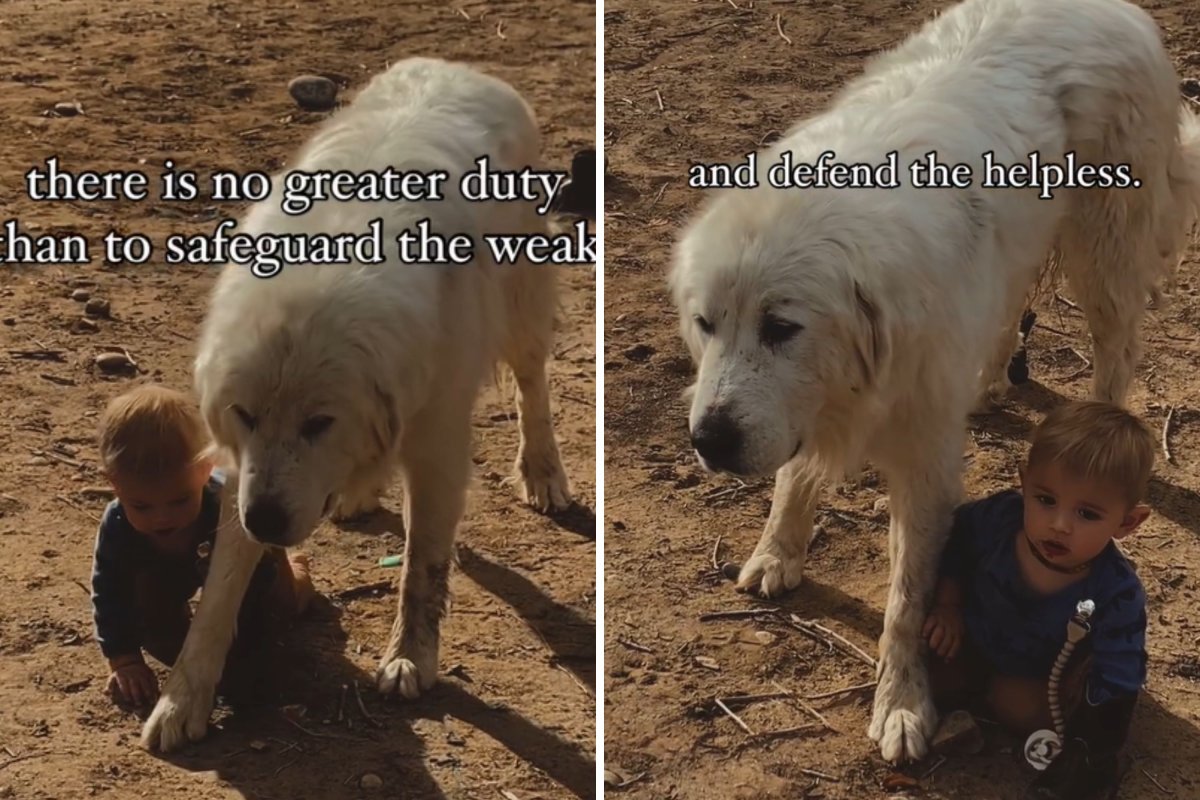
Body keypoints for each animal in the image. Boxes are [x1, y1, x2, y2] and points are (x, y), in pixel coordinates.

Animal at [140, 59, 571, 753]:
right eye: (246, 416)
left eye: (319, 424)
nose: (266, 523)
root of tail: (456, 66)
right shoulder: (244, 471)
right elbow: (217, 594)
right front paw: (183, 700)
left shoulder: (437, 443)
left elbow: (422, 566)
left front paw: (410, 658)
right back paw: (357, 495)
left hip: (522, 309)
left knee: (532, 386)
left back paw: (542, 472)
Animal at [672, 0, 1195, 767]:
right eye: (706, 324)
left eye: (781, 327)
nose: (708, 441)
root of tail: (1118, 10)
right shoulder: (807, 412)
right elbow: (794, 474)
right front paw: (778, 550)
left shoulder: (923, 459)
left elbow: (908, 599)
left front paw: (901, 703)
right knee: (1010, 306)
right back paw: (987, 384)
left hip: (1105, 247)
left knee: (1117, 346)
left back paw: (1100, 428)